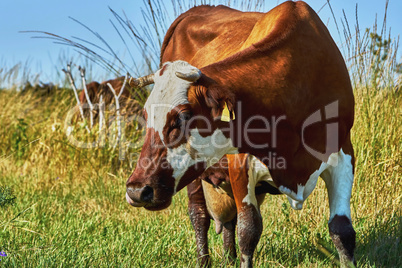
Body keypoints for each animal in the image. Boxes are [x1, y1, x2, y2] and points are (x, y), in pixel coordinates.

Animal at [125, 1, 354, 266]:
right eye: (145, 115)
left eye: (182, 116)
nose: (136, 191)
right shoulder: (240, 161)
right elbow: (249, 229)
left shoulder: (344, 152)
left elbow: (342, 231)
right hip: (195, 179)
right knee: (199, 215)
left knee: (228, 220)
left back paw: (229, 257)